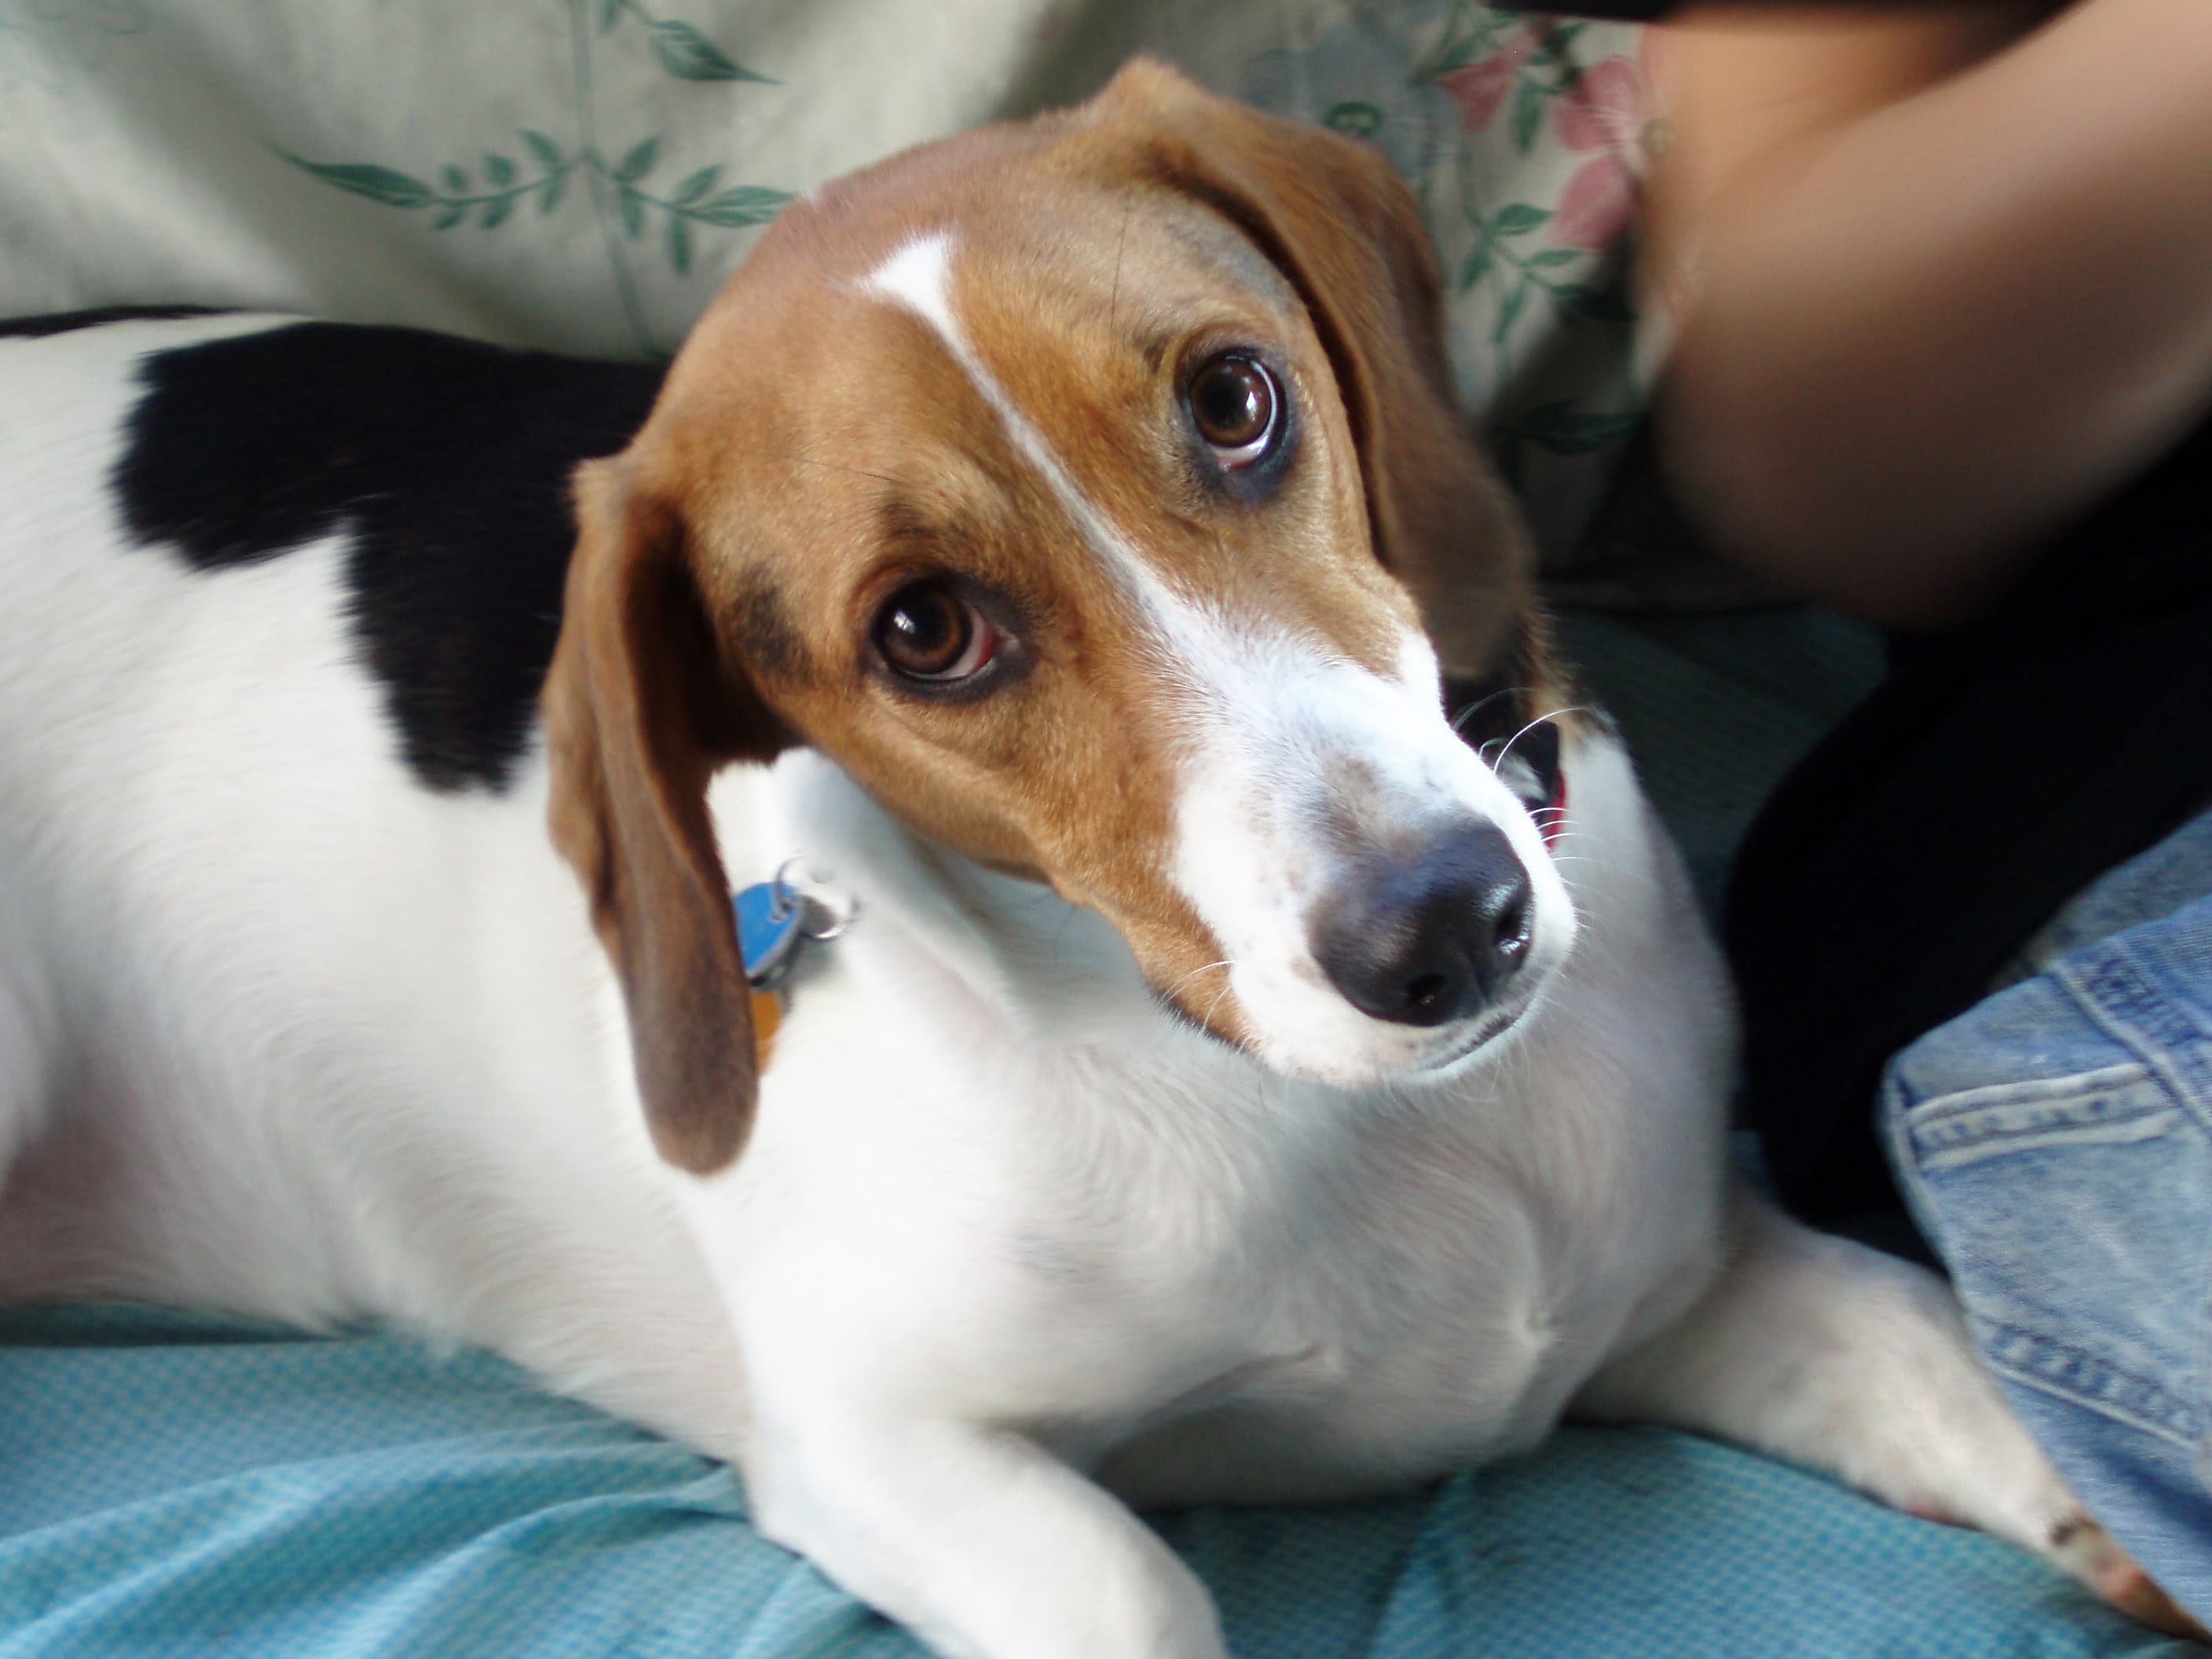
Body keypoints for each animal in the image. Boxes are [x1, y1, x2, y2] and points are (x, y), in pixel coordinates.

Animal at [0, 61, 2185, 1659]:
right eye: (923, 631)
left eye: (1235, 399)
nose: (1448, 927)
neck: (1327, 1113)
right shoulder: (875, 1443)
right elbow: (1138, 1583)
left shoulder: (1689, 1279)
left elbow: (1969, 1365)